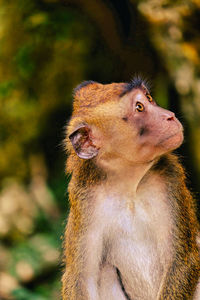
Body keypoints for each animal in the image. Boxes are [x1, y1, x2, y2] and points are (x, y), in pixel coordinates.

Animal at [62, 78, 200, 298]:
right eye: (139, 107)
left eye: (149, 98)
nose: (170, 115)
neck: (128, 185)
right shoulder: (84, 200)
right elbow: (83, 278)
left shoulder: (170, 179)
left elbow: (181, 260)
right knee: (104, 269)